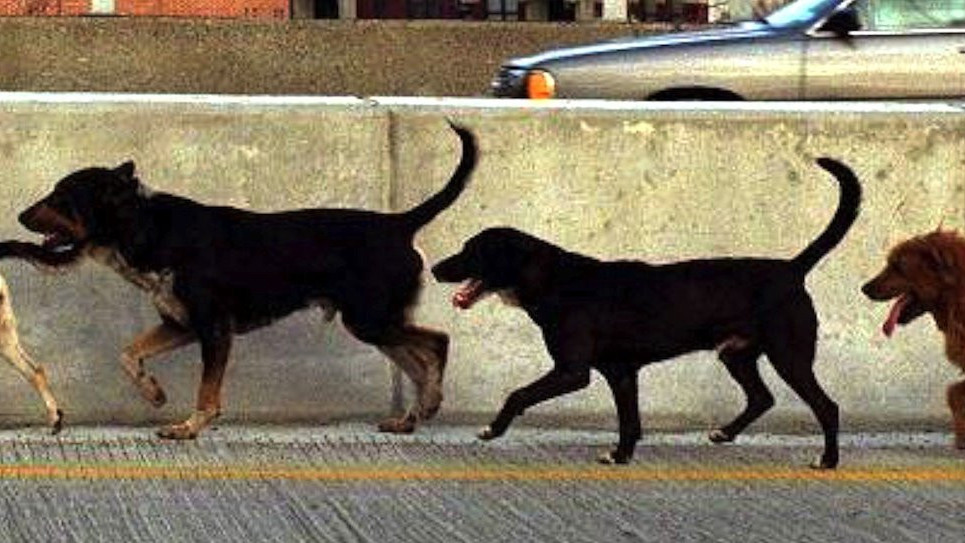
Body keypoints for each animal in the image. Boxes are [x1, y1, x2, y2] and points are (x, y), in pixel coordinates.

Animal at [1, 121, 476, 440]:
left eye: (61, 198)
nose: (20, 216)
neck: (149, 228)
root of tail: (400, 222)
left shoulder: (213, 330)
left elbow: (206, 391)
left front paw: (189, 427)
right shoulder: (179, 325)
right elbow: (128, 354)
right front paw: (153, 394)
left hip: (371, 319)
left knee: (437, 343)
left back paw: (428, 404)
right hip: (375, 324)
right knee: (419, 362)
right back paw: (414, 415)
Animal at [434, 156, 864, 468]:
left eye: (471, 251)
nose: (435, 267)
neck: (556, 280)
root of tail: (792, 268)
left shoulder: (573, 371)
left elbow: (518, 394)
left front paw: (493, 429)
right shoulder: (621, 372)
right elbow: (630, 421)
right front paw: (621, 455)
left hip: (788, 355)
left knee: (826, 406)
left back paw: (828, 460)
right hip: (736, 354)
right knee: (762, 398)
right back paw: (725, 433)